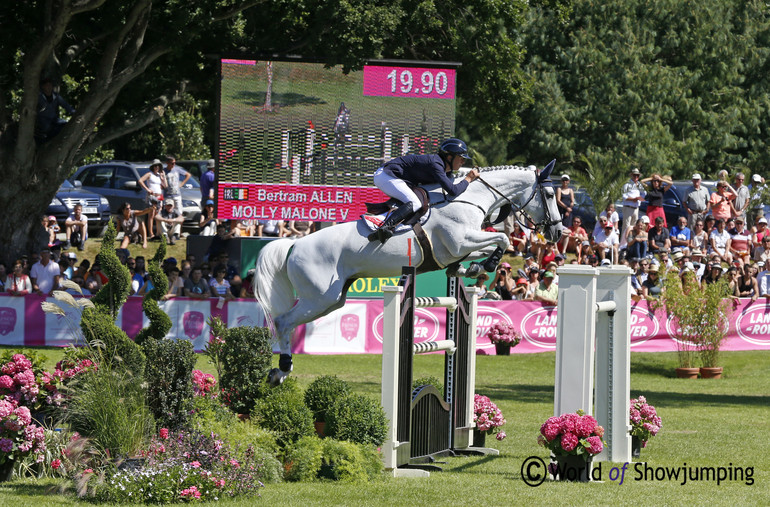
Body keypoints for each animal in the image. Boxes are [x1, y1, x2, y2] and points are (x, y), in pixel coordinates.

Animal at [255, 161, 560, 382]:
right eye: (549, 194)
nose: (557, 232)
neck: (470, 199)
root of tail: (295, 244)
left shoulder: (458, 248)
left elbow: (487, 248)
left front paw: (471, 267)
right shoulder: (461, 241)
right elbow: (503, 238)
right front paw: (484, 265)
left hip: (331, 300)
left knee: (291, 321)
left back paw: (279, 370)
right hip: (319, 297)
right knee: (283, 322)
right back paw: (281, 369)